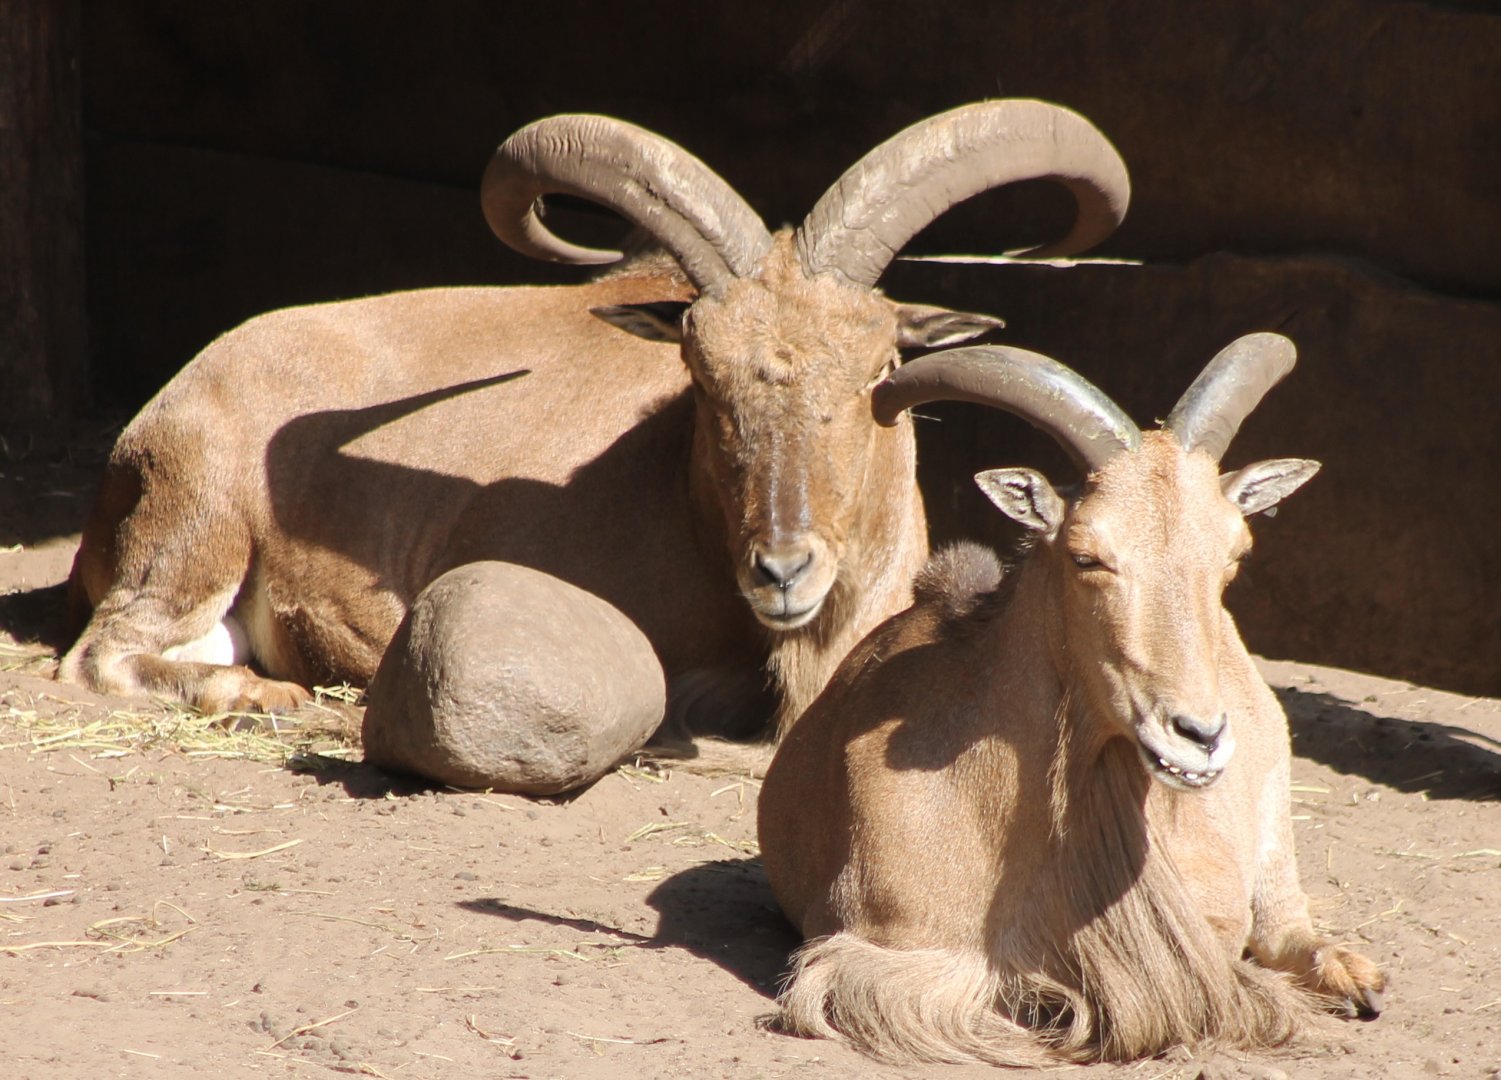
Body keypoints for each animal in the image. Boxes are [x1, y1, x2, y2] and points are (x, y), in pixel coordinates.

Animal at [59, 101, 1129, 745]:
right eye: (699, 372)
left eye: (882, 368)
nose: (782, 571)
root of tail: (148, 427)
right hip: (199, 533)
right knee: (105, 653)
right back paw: (269, 696)